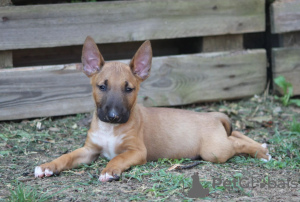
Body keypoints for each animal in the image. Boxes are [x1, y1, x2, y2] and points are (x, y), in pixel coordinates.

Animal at [35, 36, 272, 181]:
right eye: (102, 86)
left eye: (129, 88)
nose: (113, 116)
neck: (111, 129)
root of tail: (212, 116)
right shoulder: (88, 150)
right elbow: (66, 156)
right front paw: (47, 166)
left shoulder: (137, 152)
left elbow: (117, 158)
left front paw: (110, 170)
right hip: (219, 140)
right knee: (236, 135)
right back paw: (262, 146)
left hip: (214, 151)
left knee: (236, 144)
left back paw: (261, 152)